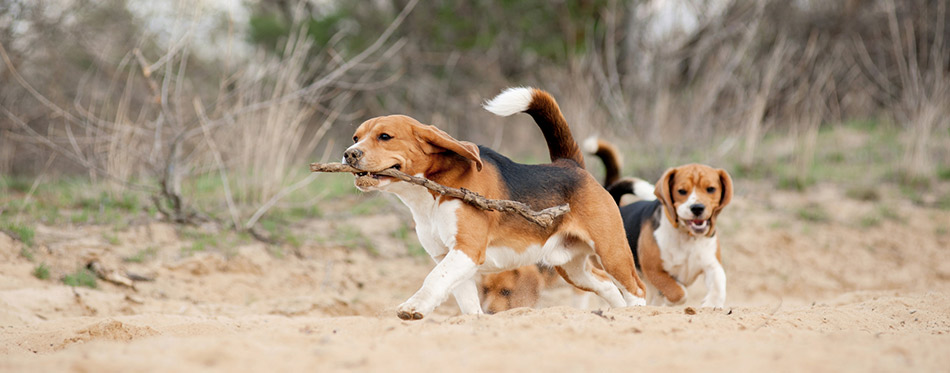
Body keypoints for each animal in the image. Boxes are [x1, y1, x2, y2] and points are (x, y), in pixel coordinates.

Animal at [346, 88, 652, 320]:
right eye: (356, 137)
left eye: (385, 137)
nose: (349, 154)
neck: (429, 195)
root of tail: (570, 165)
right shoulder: (448, 255)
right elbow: (464, 299)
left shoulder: (466, 249)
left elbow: (434, 279)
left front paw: (413, 306)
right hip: (572, 267)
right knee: (606, 285)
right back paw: (620, 315)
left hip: (612, 251)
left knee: (636, 288)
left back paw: (636, 313)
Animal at [588, 138, 736, 306]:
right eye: (681, 191)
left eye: (711, 189)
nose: (697, 208)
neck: (687, 237)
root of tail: (618, 205)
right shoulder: (654, 270)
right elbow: (679, 292)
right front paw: (668, 300)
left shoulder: (711, 264)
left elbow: (719, 283)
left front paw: (712, 303)